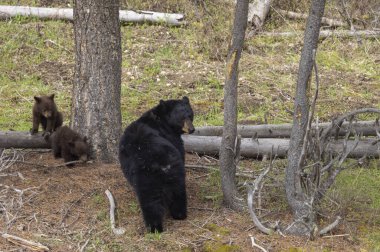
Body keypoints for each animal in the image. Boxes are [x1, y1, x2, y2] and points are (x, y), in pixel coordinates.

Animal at [119, 96, 196, 232]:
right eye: (182, 118)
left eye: (190, 115)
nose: (192, 129)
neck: (162, 121)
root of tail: (163, 163)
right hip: (174, 175)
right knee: (178, 193)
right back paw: (179, 215)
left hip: (146, 179)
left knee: (151, 203)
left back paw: (154, 227)